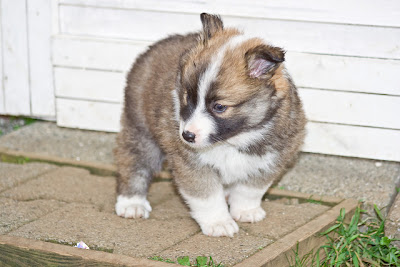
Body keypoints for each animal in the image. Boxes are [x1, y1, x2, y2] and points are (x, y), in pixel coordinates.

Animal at [113, 13, 306, 238]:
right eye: (187, 97)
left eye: (219, 107)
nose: (187, 136)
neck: (234, 139)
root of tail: (152, 48)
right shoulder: (191, 163)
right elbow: (207, 196)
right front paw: (219, 223)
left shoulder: (271, 158)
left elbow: (250, 189)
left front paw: (246, 211)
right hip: (140, 129)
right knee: (134, 162)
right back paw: (132, 204)